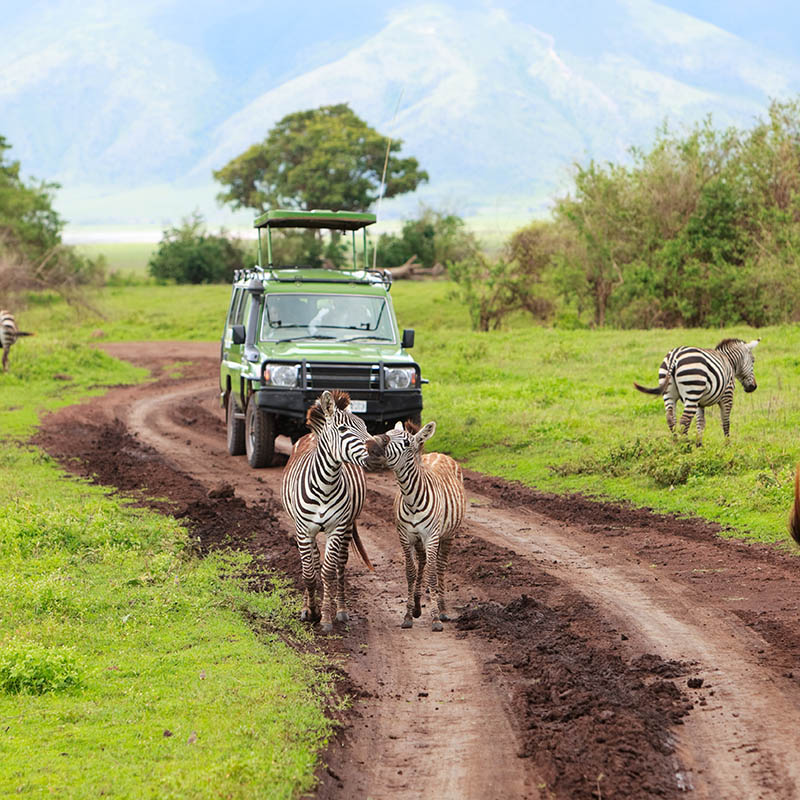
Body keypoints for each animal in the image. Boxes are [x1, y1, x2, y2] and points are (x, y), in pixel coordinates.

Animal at [282, 390, 376, 636]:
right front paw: (310, 611)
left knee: (339, 565)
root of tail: (311, 435)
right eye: (343, 429)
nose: (377, 450)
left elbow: (328, 572)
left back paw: (340, 609)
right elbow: (309, 573)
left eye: (364, 426)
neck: (326, 483)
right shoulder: (303, 530)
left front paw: (324, 617)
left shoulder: (337, 528)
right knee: (314, 563)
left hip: (348, 526)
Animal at [368, 418, 462, 632]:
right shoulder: (405, 537)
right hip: (420, 541)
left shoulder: (431, 536)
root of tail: (439, 454)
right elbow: (410, 572)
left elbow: (432, 575)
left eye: (406, 443)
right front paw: (408, 615)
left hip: (448, 535)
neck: (411, 499)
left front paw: (435, 618)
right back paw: (419, 606)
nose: (372, 444)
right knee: (423, 562)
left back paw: (443, 609)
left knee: (440, 566)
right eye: (387, 432)